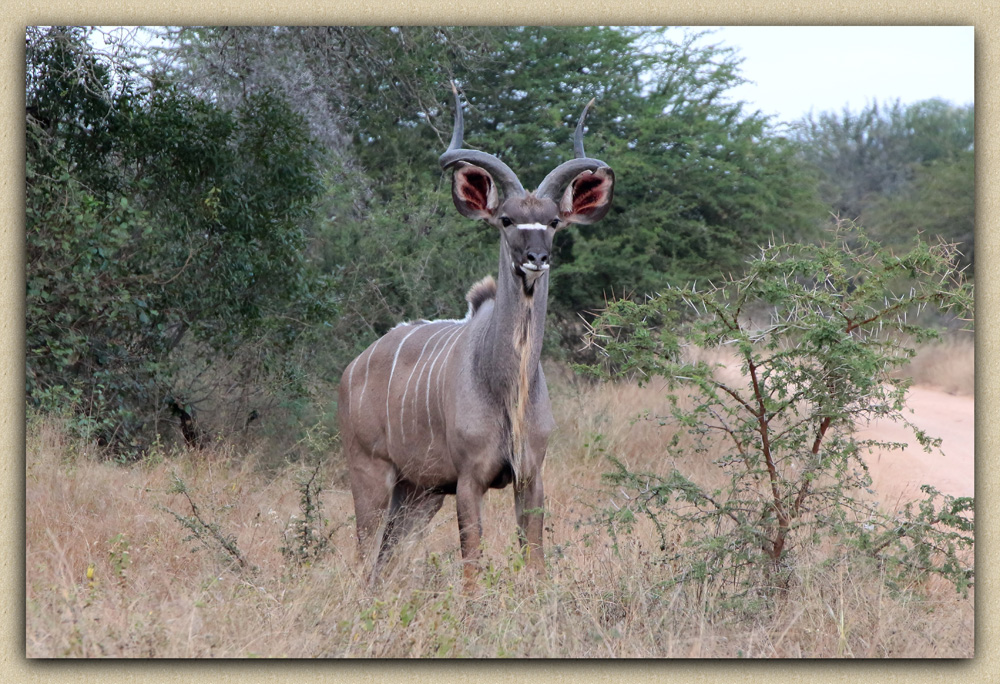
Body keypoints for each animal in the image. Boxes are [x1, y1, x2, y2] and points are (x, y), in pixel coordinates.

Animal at [340, 84, 612, 588]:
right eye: (505, 219)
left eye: (554, 222)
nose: (536, 258)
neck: (506, 386)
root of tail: (351, 370)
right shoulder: (469, 480)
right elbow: (472, 565)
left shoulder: (531, 476)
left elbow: (535, 558)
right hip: (371, 475)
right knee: (365, 555)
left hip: (419, 492)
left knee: (385, 560)